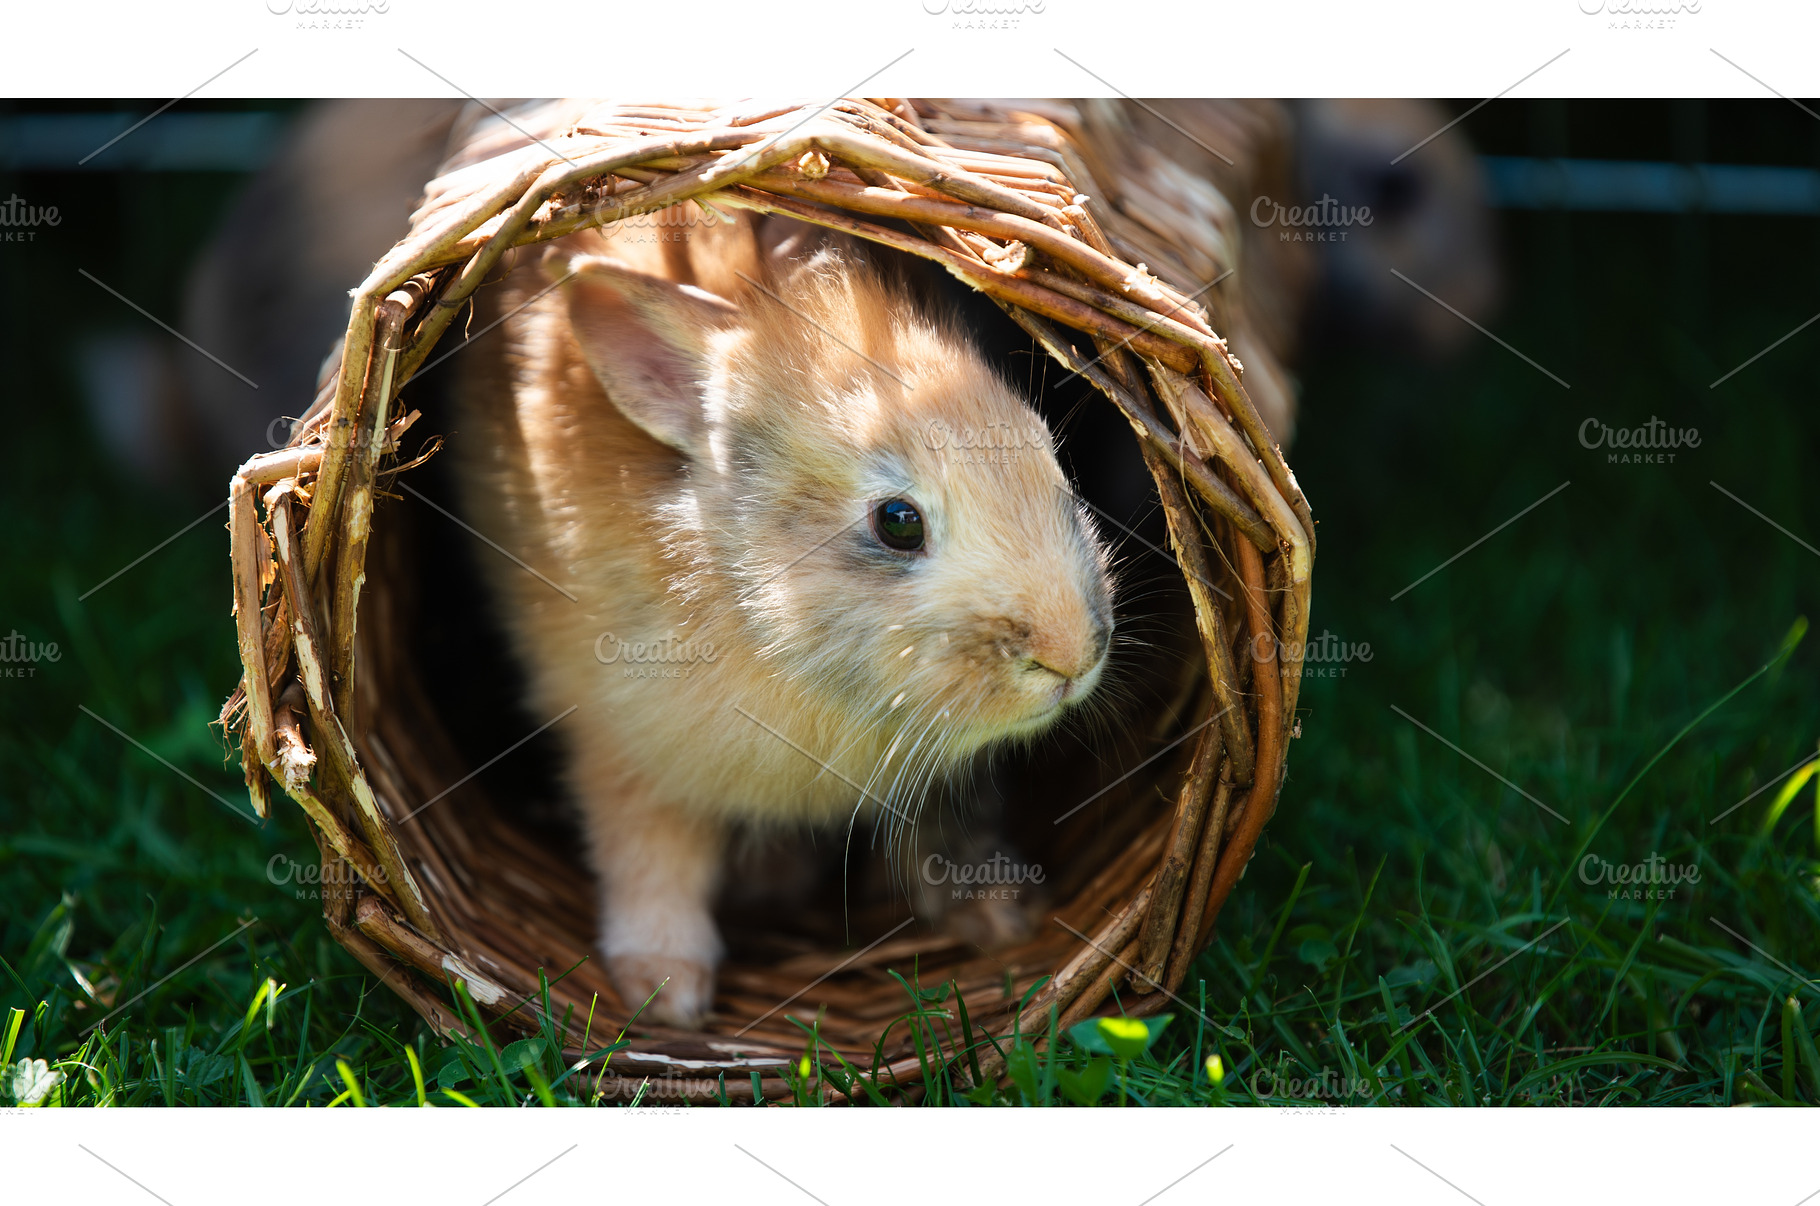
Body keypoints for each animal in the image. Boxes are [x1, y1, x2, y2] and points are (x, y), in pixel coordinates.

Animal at [452, 210, 1114, 1027]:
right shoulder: (619, 746)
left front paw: (997, 916)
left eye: (1049, 453)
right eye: (898, 523)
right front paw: (666, 993)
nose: (1073, 656)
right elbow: (650, 853)